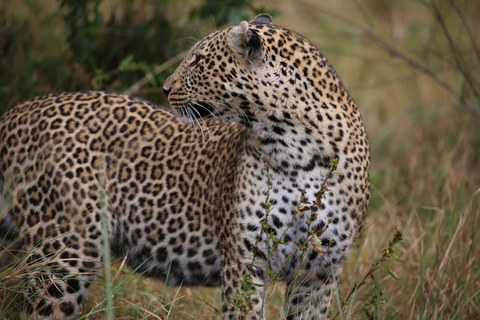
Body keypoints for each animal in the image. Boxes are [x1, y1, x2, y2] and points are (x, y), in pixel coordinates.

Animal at [0, 13, 372, 320]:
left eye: (197, 61)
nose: (165, 88)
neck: (295, 147)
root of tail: (18, 112)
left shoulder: (319, 272)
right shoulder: (245, 260)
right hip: (65, 251)